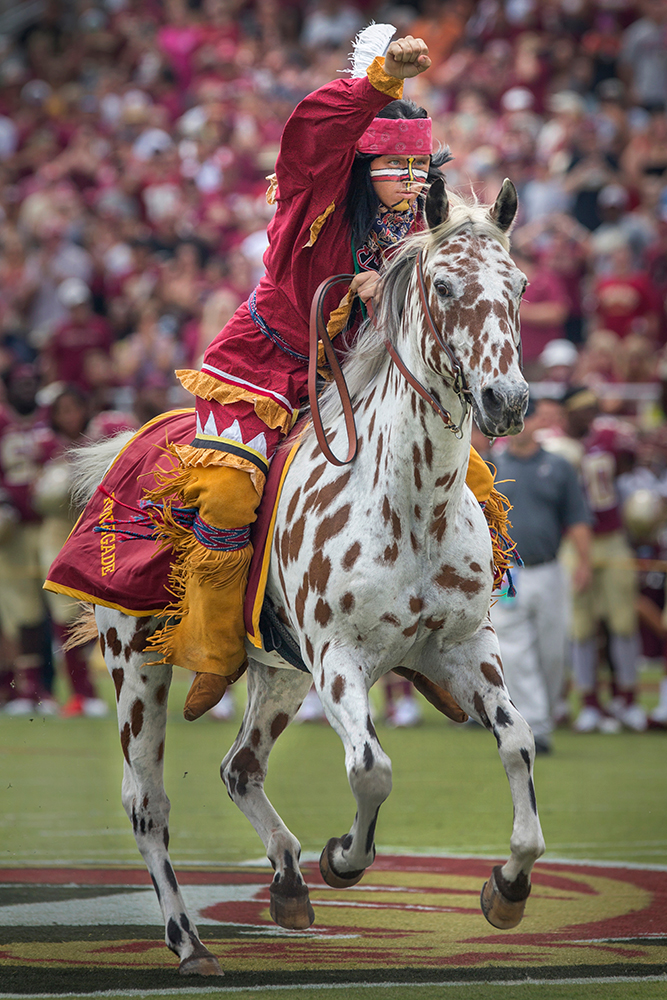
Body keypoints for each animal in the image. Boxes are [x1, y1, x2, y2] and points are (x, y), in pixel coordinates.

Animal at [70, 180, 544, 976]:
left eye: (519, 287)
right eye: (445, 286)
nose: (505, 401)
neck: (407, 503)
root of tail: (132, 444)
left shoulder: (465, 646)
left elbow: (517, 743)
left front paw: (506, 888)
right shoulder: (337, 658)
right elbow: (371, 768)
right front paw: (344, 858)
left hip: (278, 673)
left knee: (239, 767)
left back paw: (287, 881)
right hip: (135, 662)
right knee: (147, 805)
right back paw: (189, 942)